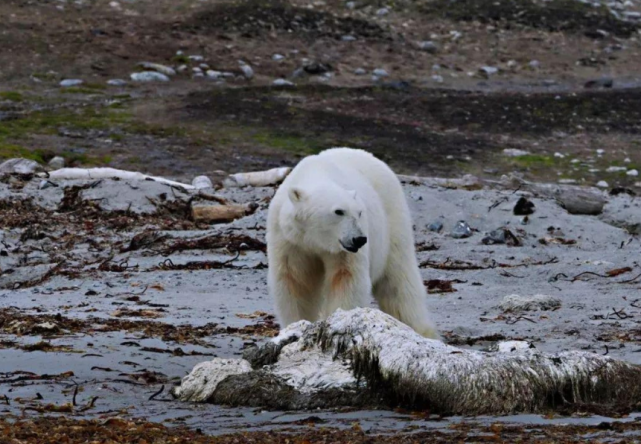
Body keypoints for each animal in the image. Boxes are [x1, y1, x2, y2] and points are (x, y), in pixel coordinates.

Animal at [264, 147, 440, 338]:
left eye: (359, 212)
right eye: (339, 211)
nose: (360, 239)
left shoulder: (342, 251)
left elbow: (346, 279)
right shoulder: (290, 240)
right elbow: (296, 281)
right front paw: (296, 325)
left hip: (392, 217)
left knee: (398, 280)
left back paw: (422, 331)